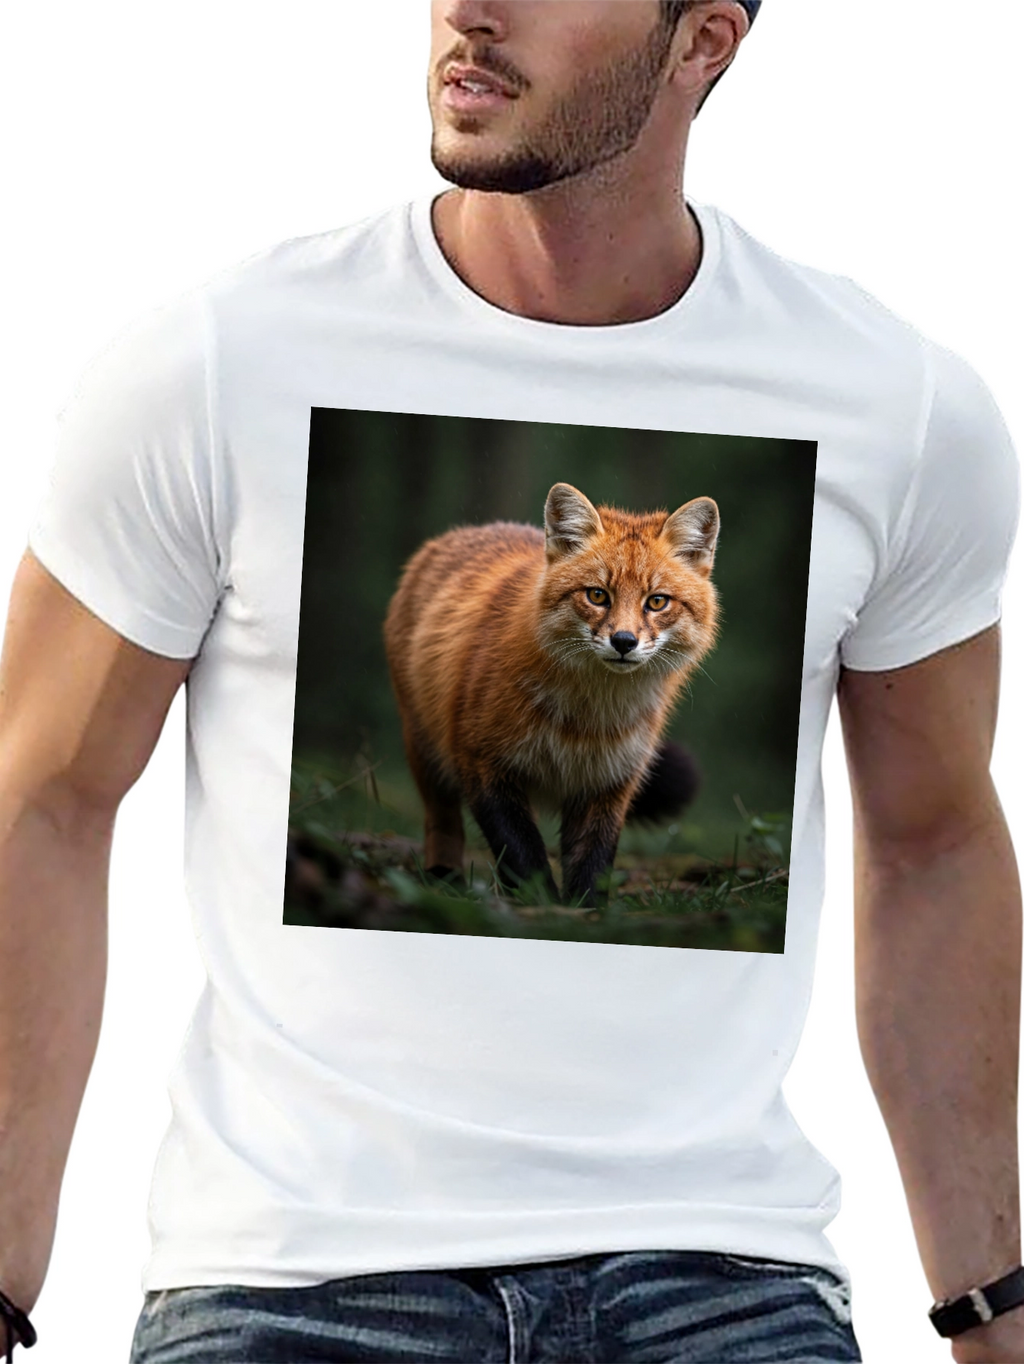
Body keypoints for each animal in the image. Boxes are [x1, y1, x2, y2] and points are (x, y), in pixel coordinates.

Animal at [382, 481, 720, 908]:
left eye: (657, 601)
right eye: (597, 595)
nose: (624, 642)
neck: (584, 723)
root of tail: (467, 531)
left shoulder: (610, 781)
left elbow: (593, 862)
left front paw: (585, 912)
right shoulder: (481, 762)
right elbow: (522, 852)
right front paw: (541, 904)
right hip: (426, 751)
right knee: (441, 820)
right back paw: (445, 877)